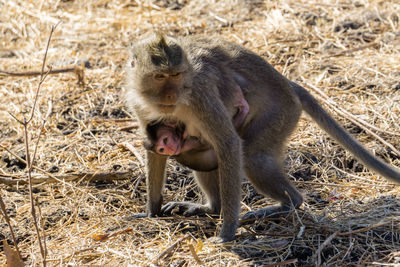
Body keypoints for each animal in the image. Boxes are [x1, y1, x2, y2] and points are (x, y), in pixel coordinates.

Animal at [125, 33, 400, 243]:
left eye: (176, 75)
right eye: (160, 77)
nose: (171, 96)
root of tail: (288, 85)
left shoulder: (200, 95)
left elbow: (228, 143)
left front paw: (227, 232)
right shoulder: (141, 106)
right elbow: (154, 150)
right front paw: (151, 211)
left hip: (280, 114)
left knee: (252, 159)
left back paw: (287, 204)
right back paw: (211, 208)